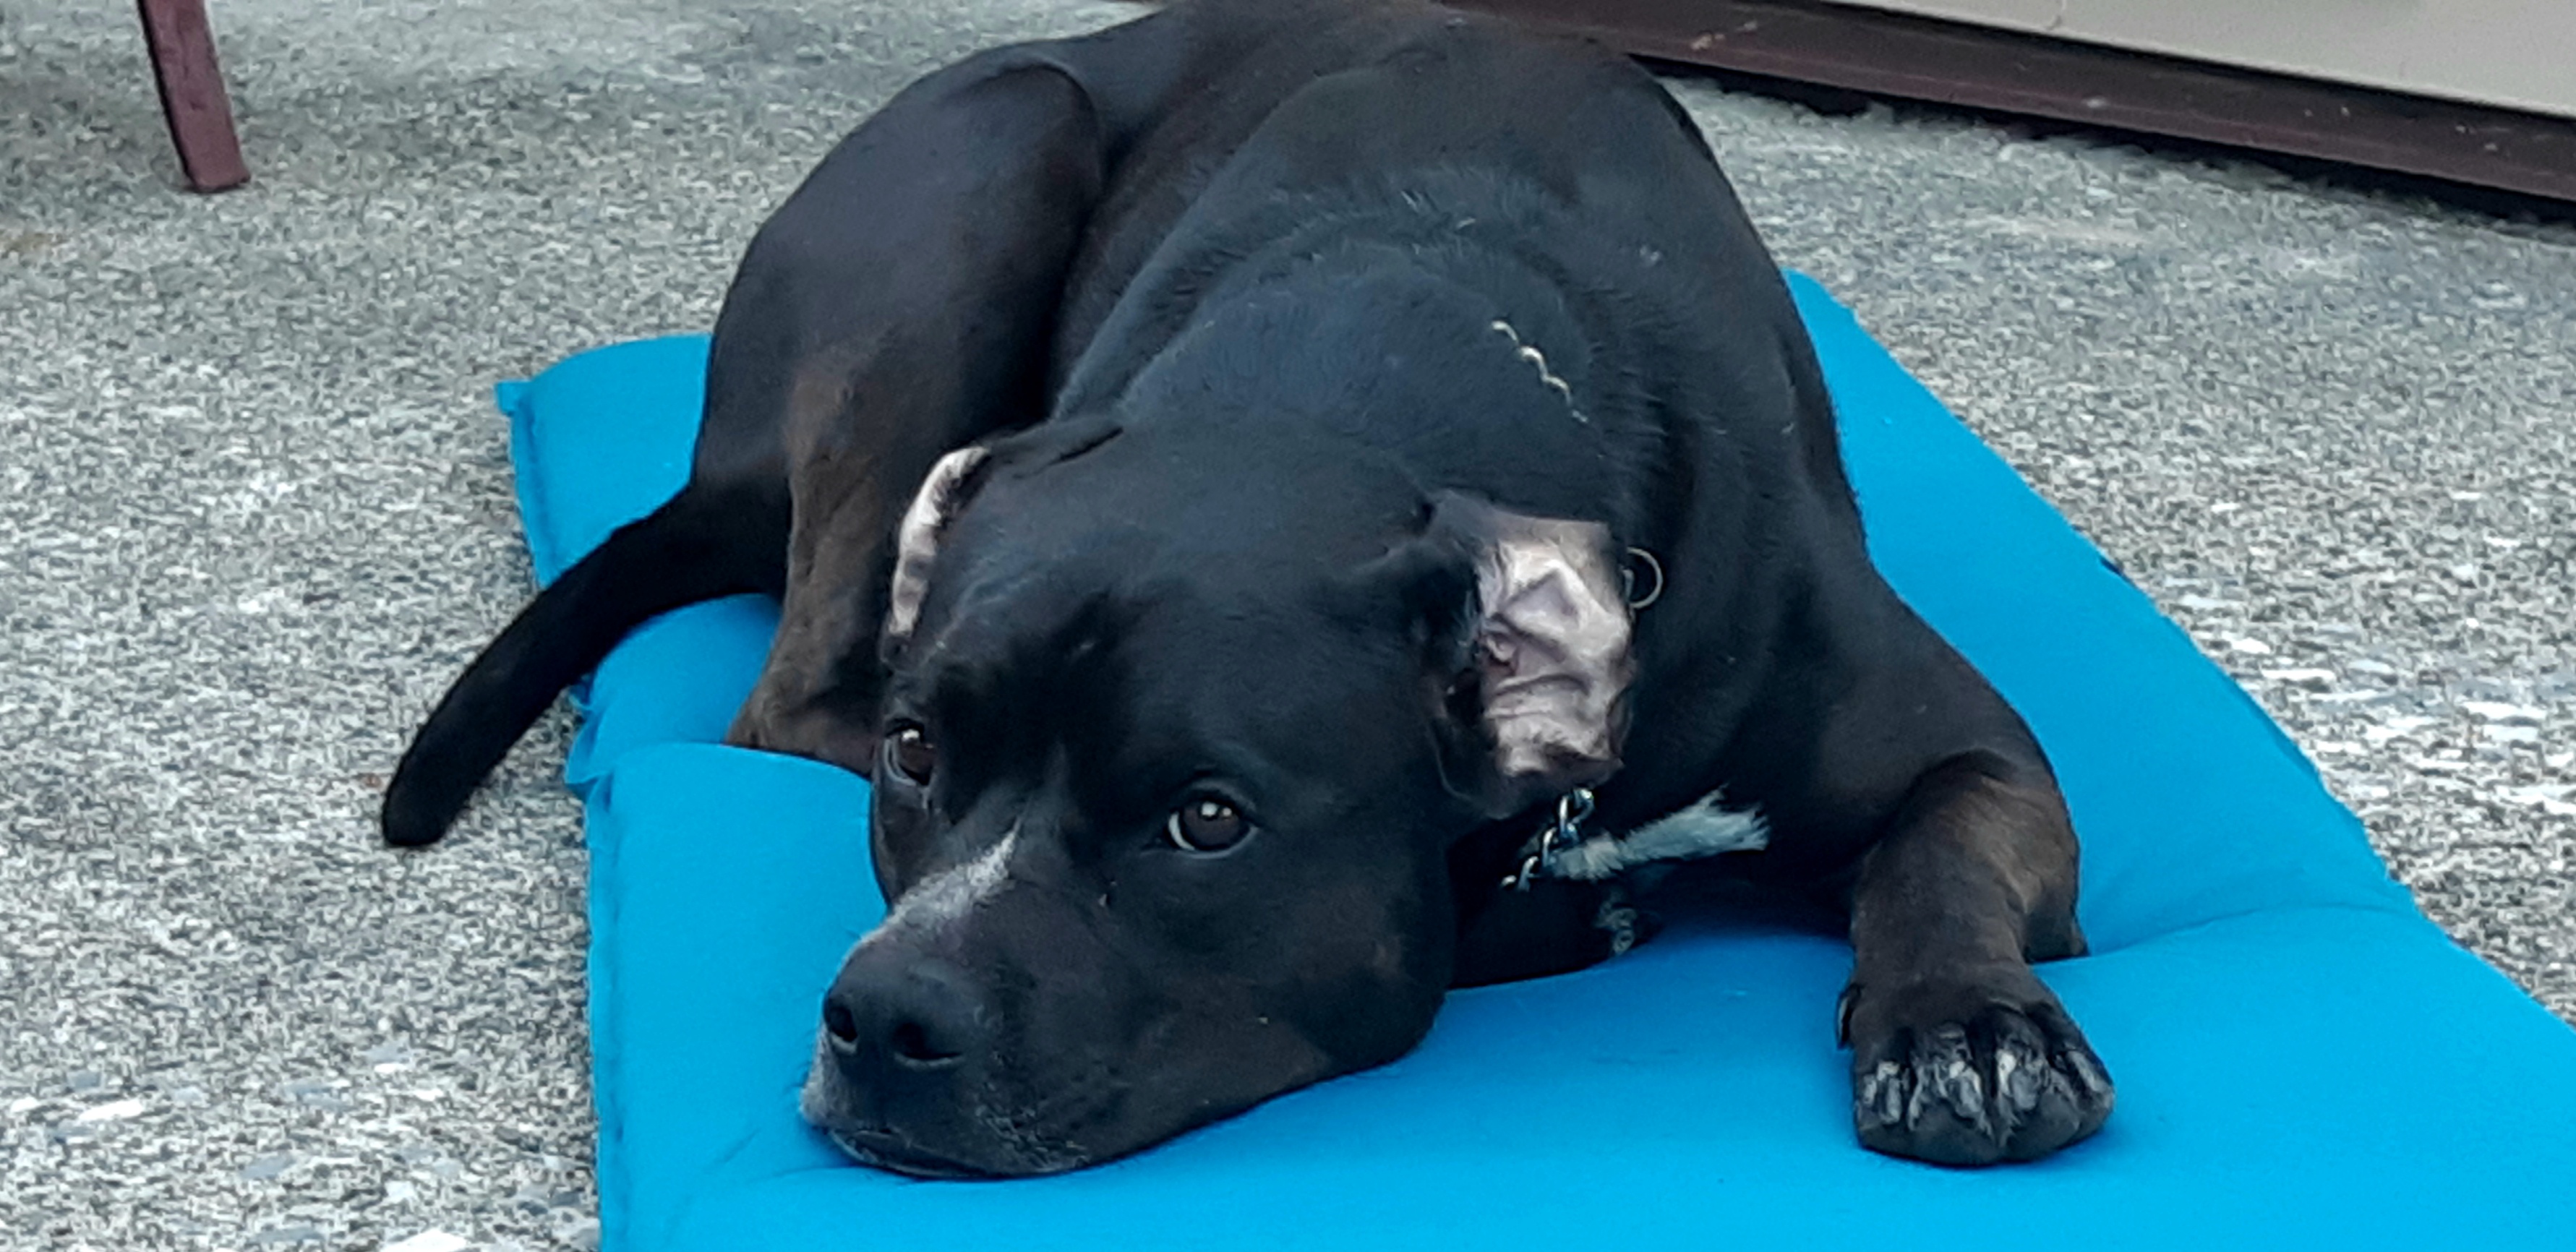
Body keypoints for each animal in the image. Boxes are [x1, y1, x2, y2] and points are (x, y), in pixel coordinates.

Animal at [381, 0, 2112, 1175]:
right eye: (921, 756)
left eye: (1207, 820)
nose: (880, 1017)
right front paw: (1565, 910)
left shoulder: (1979, 754)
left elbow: (1938, 854)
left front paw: (1965, 1025)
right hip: (997, 147)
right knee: (789, 691)